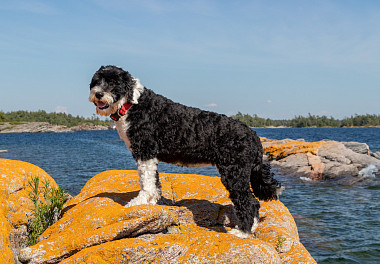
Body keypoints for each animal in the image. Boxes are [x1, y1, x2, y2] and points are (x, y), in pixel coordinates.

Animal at [87, 65, 280, 238]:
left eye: (113, 83)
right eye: (96, 81)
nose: (98, 94)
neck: (131, 105)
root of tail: (253, 135)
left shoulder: (145, 151)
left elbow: (146, 181)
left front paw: (140, 201)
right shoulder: (148, 156)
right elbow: (153, 182)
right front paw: (152, 201)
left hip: (234, 173)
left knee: (248, 202)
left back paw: (242, 232)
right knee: (254, 203)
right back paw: (252, 228)